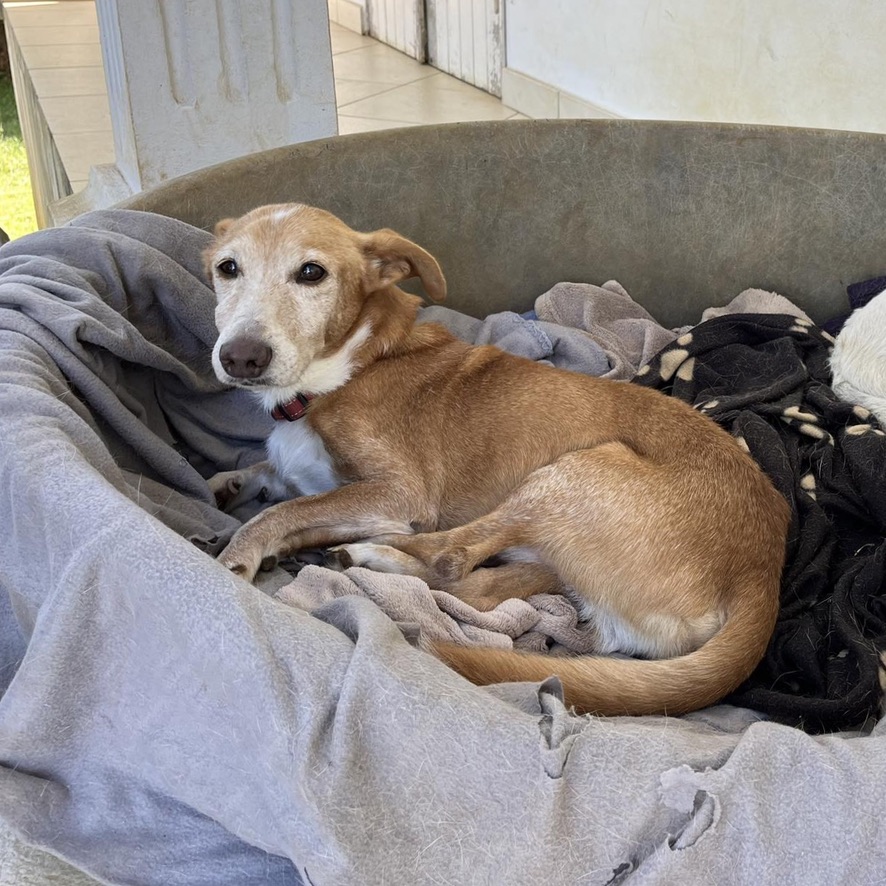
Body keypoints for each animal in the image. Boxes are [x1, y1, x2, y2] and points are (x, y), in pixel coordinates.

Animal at [208, 205, 792, 720]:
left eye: (312, 272)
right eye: (227, 267)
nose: (240, 357)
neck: (356, 362)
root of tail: (763, 569)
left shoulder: (400, 492)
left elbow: (282, 512)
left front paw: (239, 556)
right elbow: (271, 481)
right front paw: (228, 490)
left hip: (574, 472)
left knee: (450, 558)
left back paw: (371, 555)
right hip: (559, 554)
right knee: (479, 587)